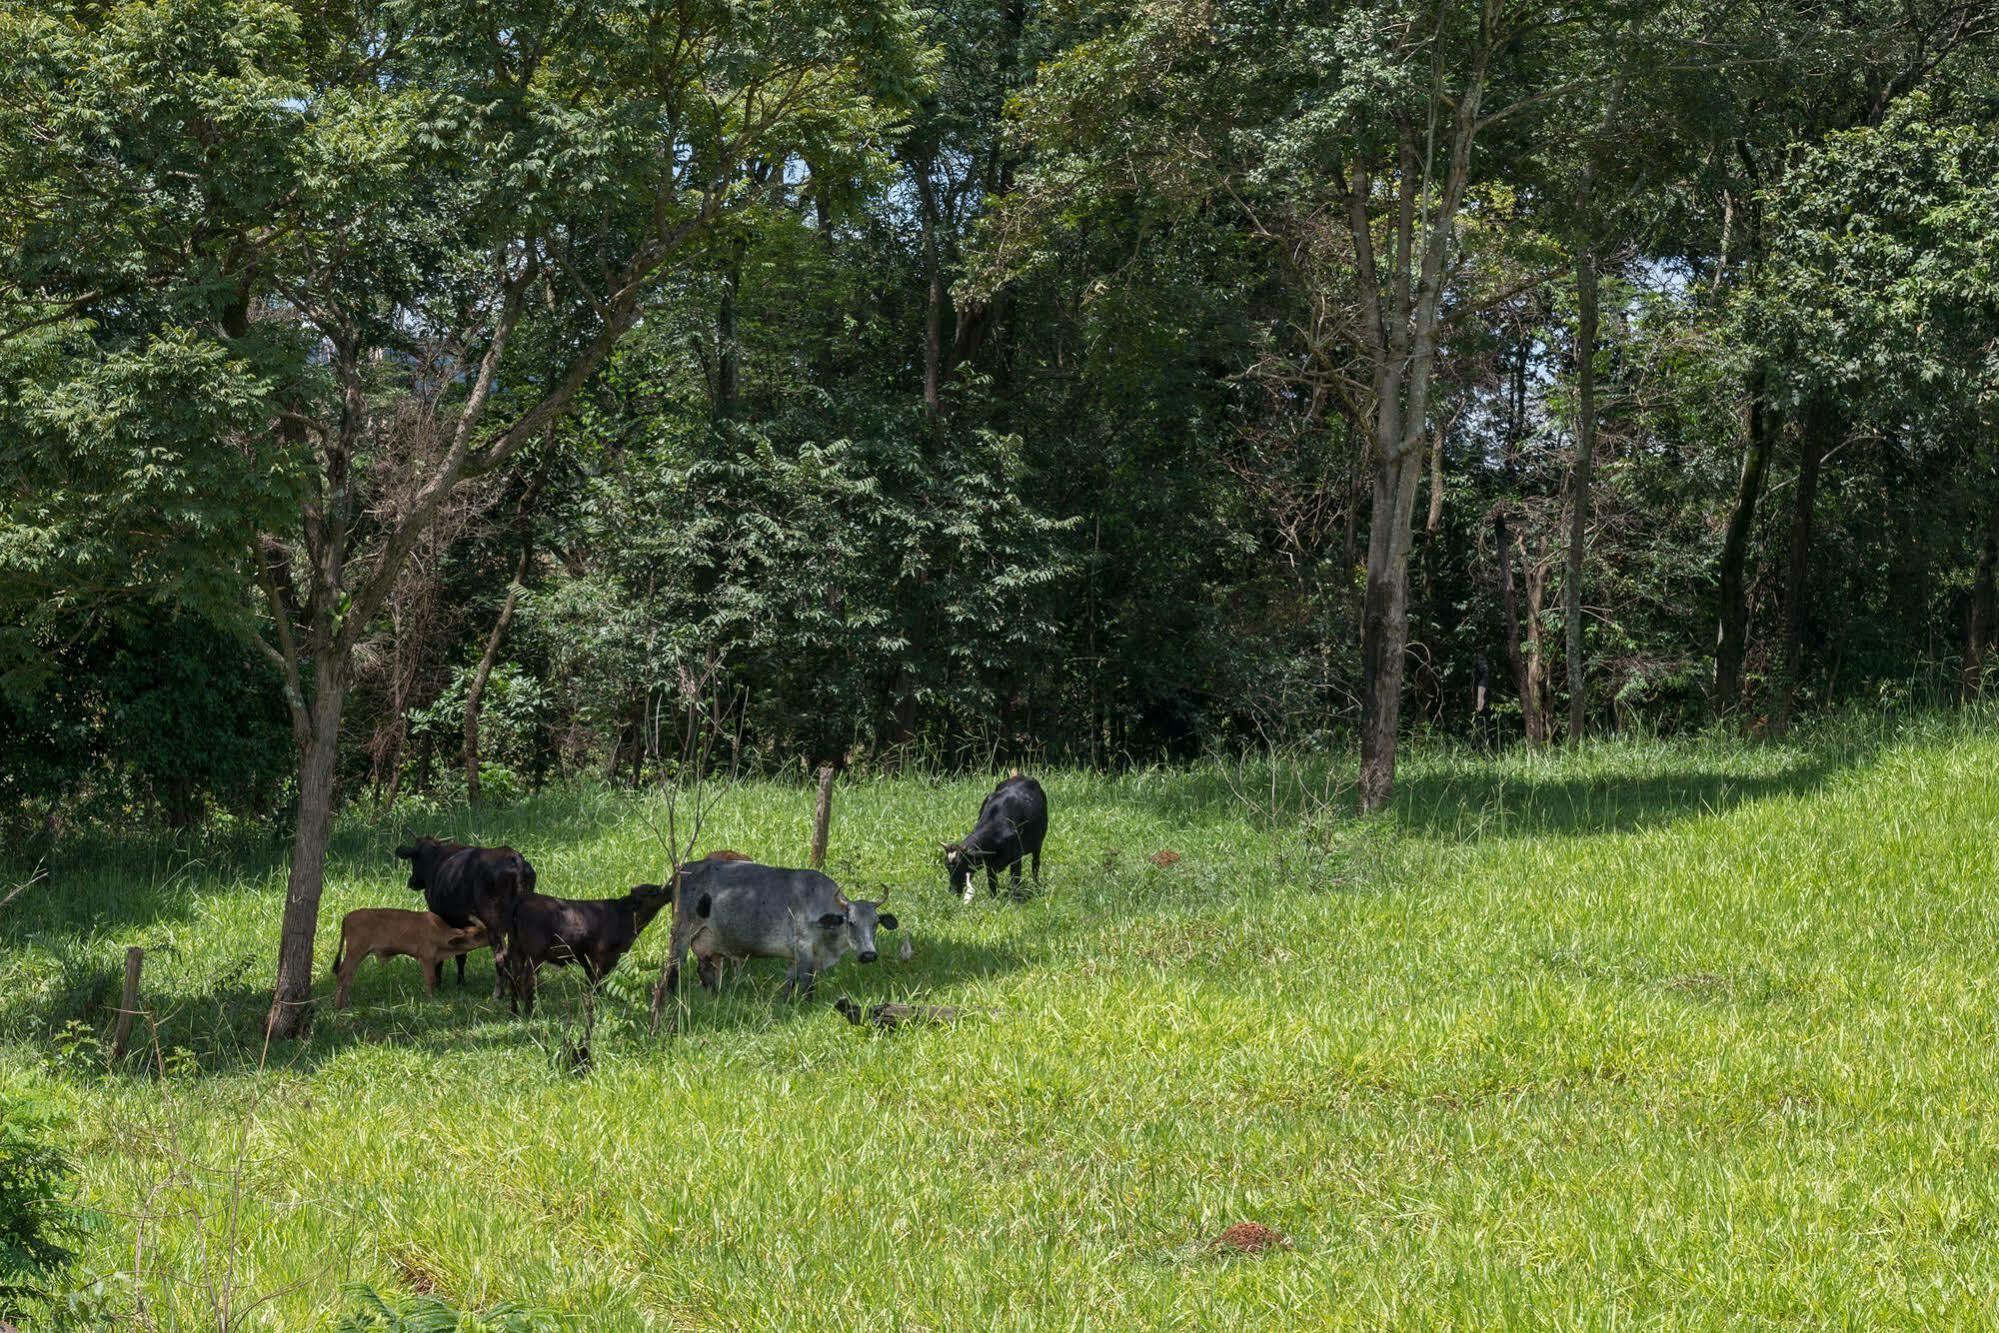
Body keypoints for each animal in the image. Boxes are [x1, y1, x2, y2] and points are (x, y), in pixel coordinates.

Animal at [331, 907, 491, 1011]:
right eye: (478, 935)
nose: (494, 937)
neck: (439, 932)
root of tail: (347, 917)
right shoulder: (426, 958)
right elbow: (431, 980)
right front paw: (432, 1000)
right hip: (355, 953)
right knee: (343, 974)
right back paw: (339, 1006)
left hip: (360, 955)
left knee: (349, 977)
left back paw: (345, 1004)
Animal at [391, 839, 535, 995]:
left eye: (414, 859)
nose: (412, 882)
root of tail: (514, 857)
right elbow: (461, 954)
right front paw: (461, 982)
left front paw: (439, 984)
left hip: (494, 925)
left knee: (502, 956)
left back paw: (498, 994)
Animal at [507, 887, 671, 1023]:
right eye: (653, 891)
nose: (668, 890)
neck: (623, 917)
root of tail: (524, 898)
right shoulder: (599, 958)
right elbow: (595, 986)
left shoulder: (587, 961)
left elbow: (589, 986)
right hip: (535, 955)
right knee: (527, 980)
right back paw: (529, 1014)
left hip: (516, 950)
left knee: (514, 979)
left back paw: (514, 1014)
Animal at [663, 855, 899, 999]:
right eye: (851, 922)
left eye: (876, 924)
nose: (869, 955)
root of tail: (684, 869)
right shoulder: (803, 947)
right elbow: (806, 981)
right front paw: (806, 1004)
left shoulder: (795, 956)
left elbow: (789, 981)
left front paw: (784, 1001)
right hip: (681, 934)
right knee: (674, 967)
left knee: (704, 971)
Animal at [943, 771, 1055, 907]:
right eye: (947, 866)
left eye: (961, 865)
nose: (953, 891)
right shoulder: (989, 862)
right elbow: (992, 882)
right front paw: (993, 900)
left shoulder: (1016, 857)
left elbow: (1015, 880)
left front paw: (1016, 901)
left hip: (1038, 845)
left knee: (1035, 865)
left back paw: (1036, 884)